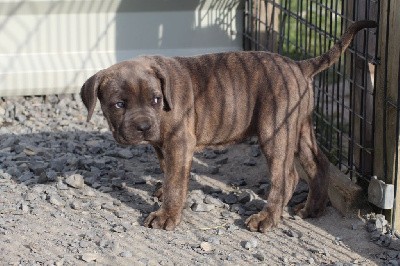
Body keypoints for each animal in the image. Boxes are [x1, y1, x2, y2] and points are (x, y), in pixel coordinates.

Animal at [82, 20, 378, 232]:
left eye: (155, 99)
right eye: (119, 104)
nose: (144, 126)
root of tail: (298, 66)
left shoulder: (179, 141)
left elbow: (176, 179)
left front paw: (167, 214)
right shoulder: (164, 145)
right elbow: (169, 170)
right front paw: (165, 191)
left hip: (275, 132)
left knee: (287, 177)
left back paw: (267, 218)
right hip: (301, 127)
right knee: (318, 164)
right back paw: (312, 209)